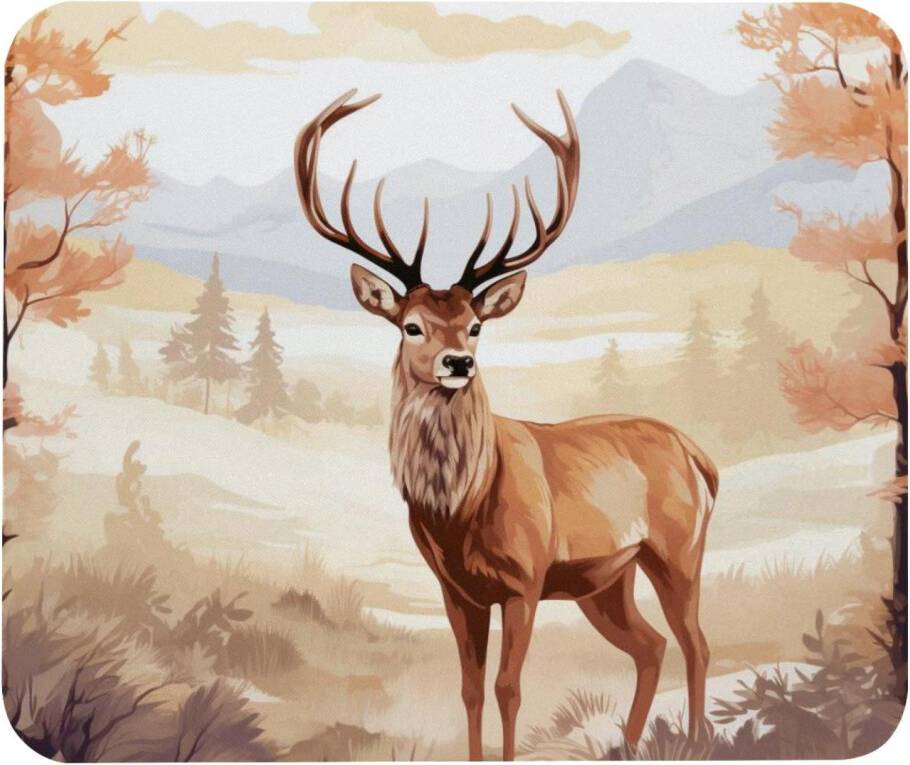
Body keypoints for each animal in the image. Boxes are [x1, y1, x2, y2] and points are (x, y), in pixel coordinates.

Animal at [294, 89, 718, 761]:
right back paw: (626, 745)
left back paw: (699, 738)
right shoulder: (456, 590)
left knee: (695, 643)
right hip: (607, 580)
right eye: (411, 325)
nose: (458, 363)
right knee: (650, 646)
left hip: (678, 548)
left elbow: (508, 689)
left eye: (475, 325)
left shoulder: (525, 579)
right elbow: (469, 689)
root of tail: (699, 456)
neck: (461, 512)